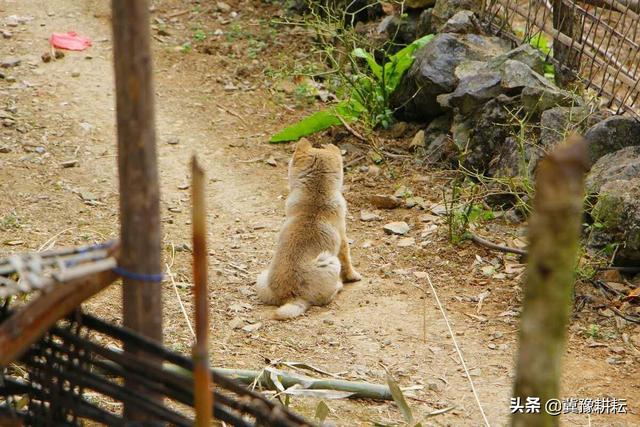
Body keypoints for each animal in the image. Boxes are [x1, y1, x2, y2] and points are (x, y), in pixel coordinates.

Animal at [258, 139, 362, 320]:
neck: (315, 194)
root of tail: (290, 297)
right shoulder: (342, 239)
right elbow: (347, 261)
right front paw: (354, 276)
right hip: (330, 262)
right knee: (325, 297)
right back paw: (338, 285)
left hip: (261, 277)